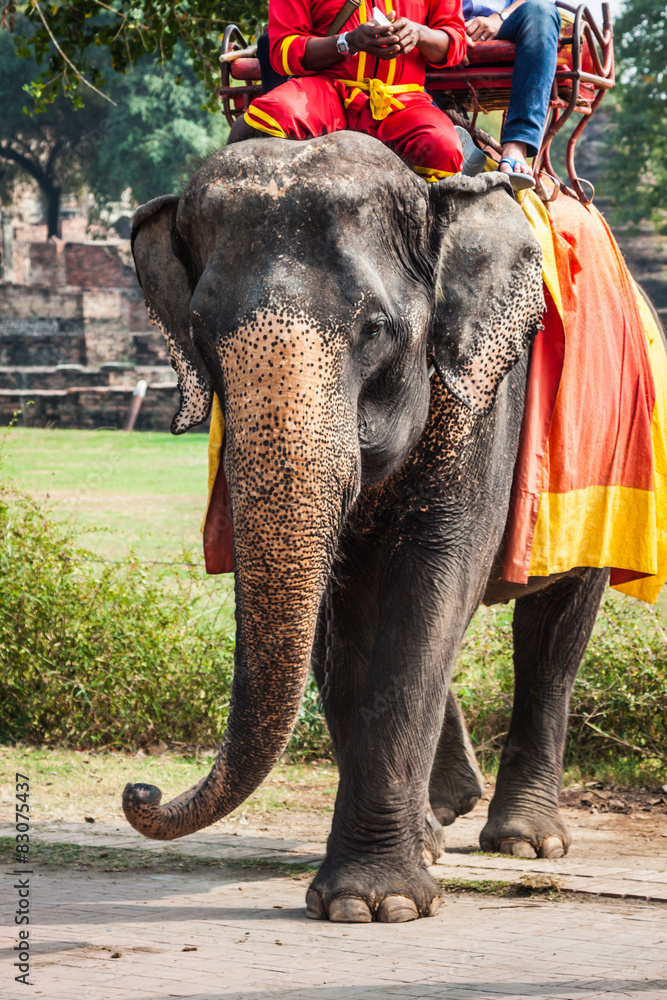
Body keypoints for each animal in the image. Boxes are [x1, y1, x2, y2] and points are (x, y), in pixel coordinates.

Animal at [124, 131, 611, 924]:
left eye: (376, 330)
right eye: (198, 333)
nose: (141, 791)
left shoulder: (483, 403)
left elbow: (432, 585)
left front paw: (376, 904)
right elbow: (343, 621)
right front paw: (380, 885)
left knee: (556, 627)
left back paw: (525, 842)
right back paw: (442, 820)